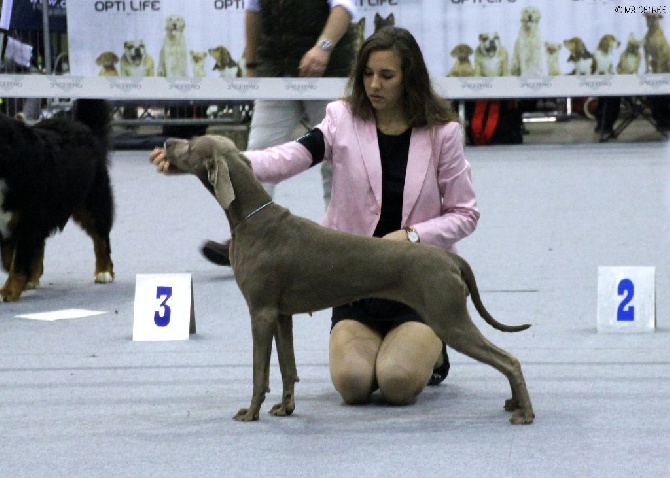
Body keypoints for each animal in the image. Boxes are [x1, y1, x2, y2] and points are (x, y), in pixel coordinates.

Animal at [0, 99, 115, 300]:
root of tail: (83, 126)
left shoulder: (29, 220)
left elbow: (18, 261)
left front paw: (9, 290)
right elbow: (10, 259)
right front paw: (27, 279)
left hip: (92, 203)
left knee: (101, 238)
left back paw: (104, 271)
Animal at [163, 133, 536, 424]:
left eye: (191, 144)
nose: (165, 142)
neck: (252, 219)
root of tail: (449, 257)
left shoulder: (261, 312)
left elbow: (260, 371)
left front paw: (250, 412)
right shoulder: (281, 315)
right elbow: (287, 367)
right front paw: (285, 408)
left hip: (448, 319)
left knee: (509, 360)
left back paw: (525, 412)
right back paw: (514, 404)